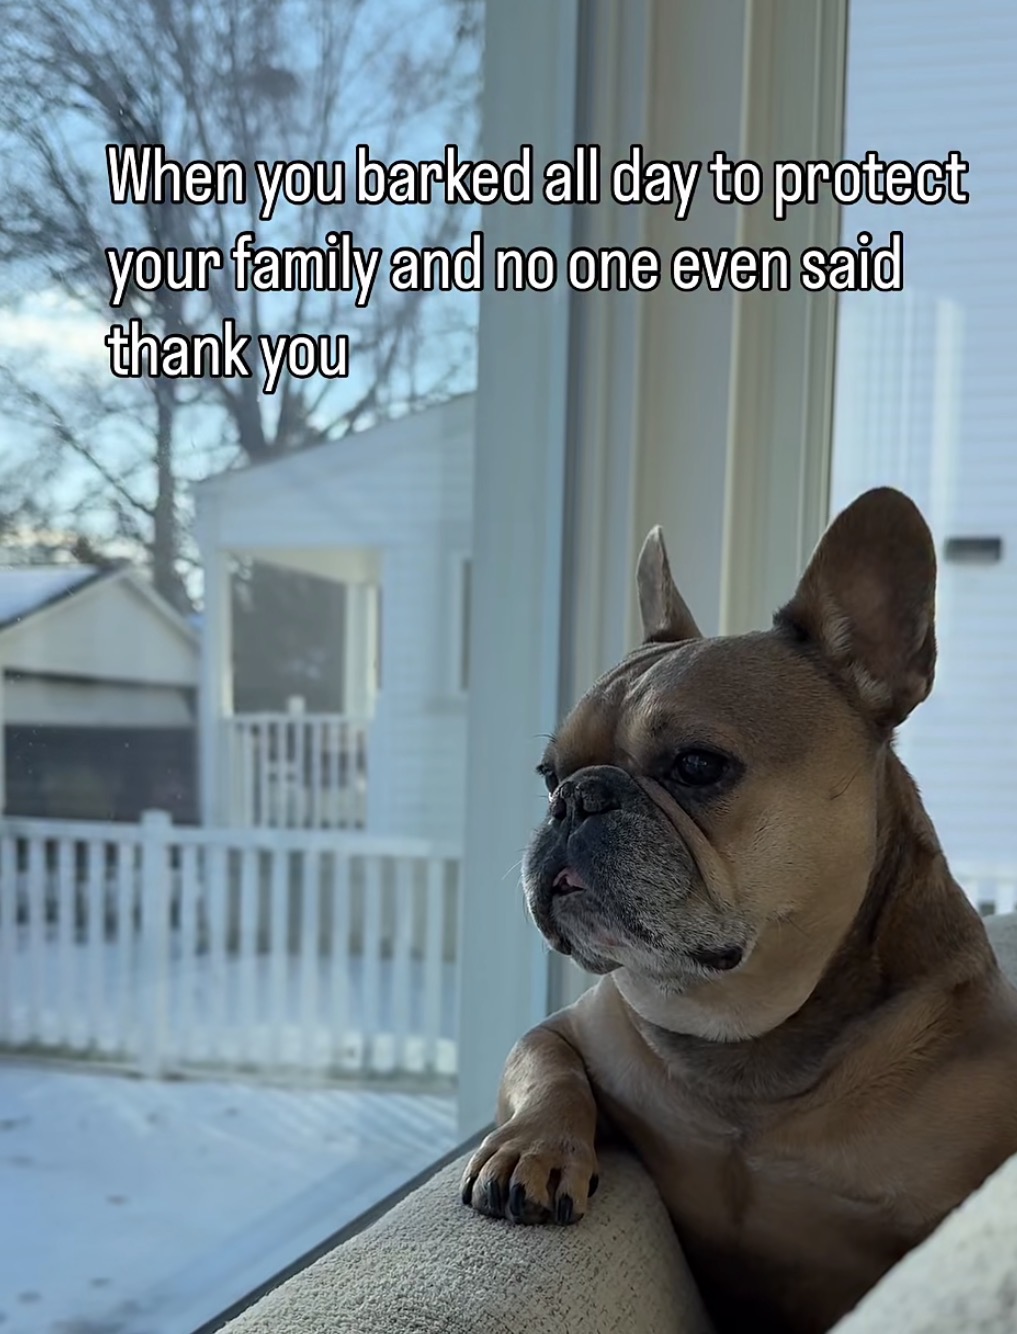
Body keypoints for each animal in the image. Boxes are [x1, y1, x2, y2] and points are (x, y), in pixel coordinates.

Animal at [461, 487, 1017, 1334]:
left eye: (697, 766)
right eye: (547, 773)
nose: (574, 798)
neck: (743, 1034)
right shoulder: (569, 1029)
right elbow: (545, 1064)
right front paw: (531, 1147)